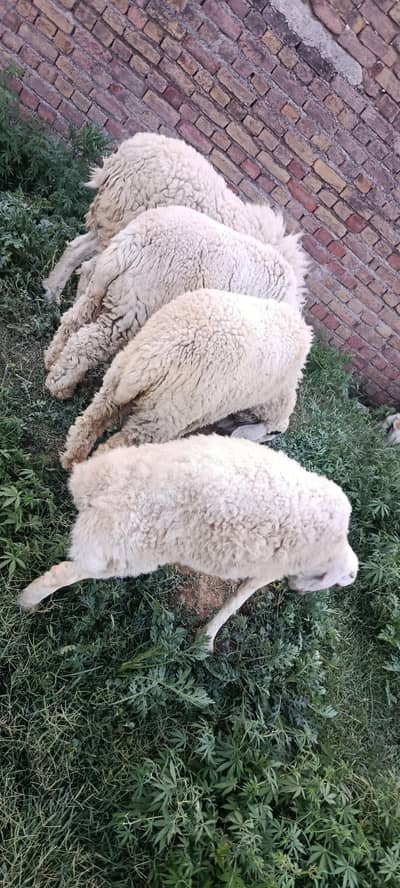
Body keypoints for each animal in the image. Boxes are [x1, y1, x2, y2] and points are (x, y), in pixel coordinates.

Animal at [18, 435, 359, 653]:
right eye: (335, 584)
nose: (295, 590)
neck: (334, 546)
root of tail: (100, 485)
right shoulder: (269, 570)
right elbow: (236, 602)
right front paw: (206, 641)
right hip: (119, 550)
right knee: (63, 574)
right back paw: (26, 603)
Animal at [44, 205, 309, 400]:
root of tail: (132, 242)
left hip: (102, 291)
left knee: (73, 321)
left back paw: (52, 361)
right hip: (133, 310)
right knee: (86, 343)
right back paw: (59, 387)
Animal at [60, 289, 313, 470]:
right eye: (272, 434)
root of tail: (159, 355)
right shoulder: (200, 415)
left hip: (118, 376)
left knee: (89, 421)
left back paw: (72, 460)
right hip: (161, 417)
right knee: (115, 446)